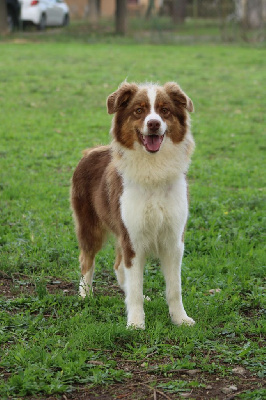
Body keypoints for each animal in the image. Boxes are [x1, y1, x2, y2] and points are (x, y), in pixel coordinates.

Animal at [70, 81, 195, 328]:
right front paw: (136, 323)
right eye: (139, 110)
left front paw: (180, 319)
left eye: (165, 110)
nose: (154, 123)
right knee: (86, 260)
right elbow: (136, 285)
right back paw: (85, 294)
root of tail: (91, 150)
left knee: (118, 266)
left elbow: (174, 288)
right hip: (89, 226)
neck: (153, 168)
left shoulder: (174, 239)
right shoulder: (133, 237)